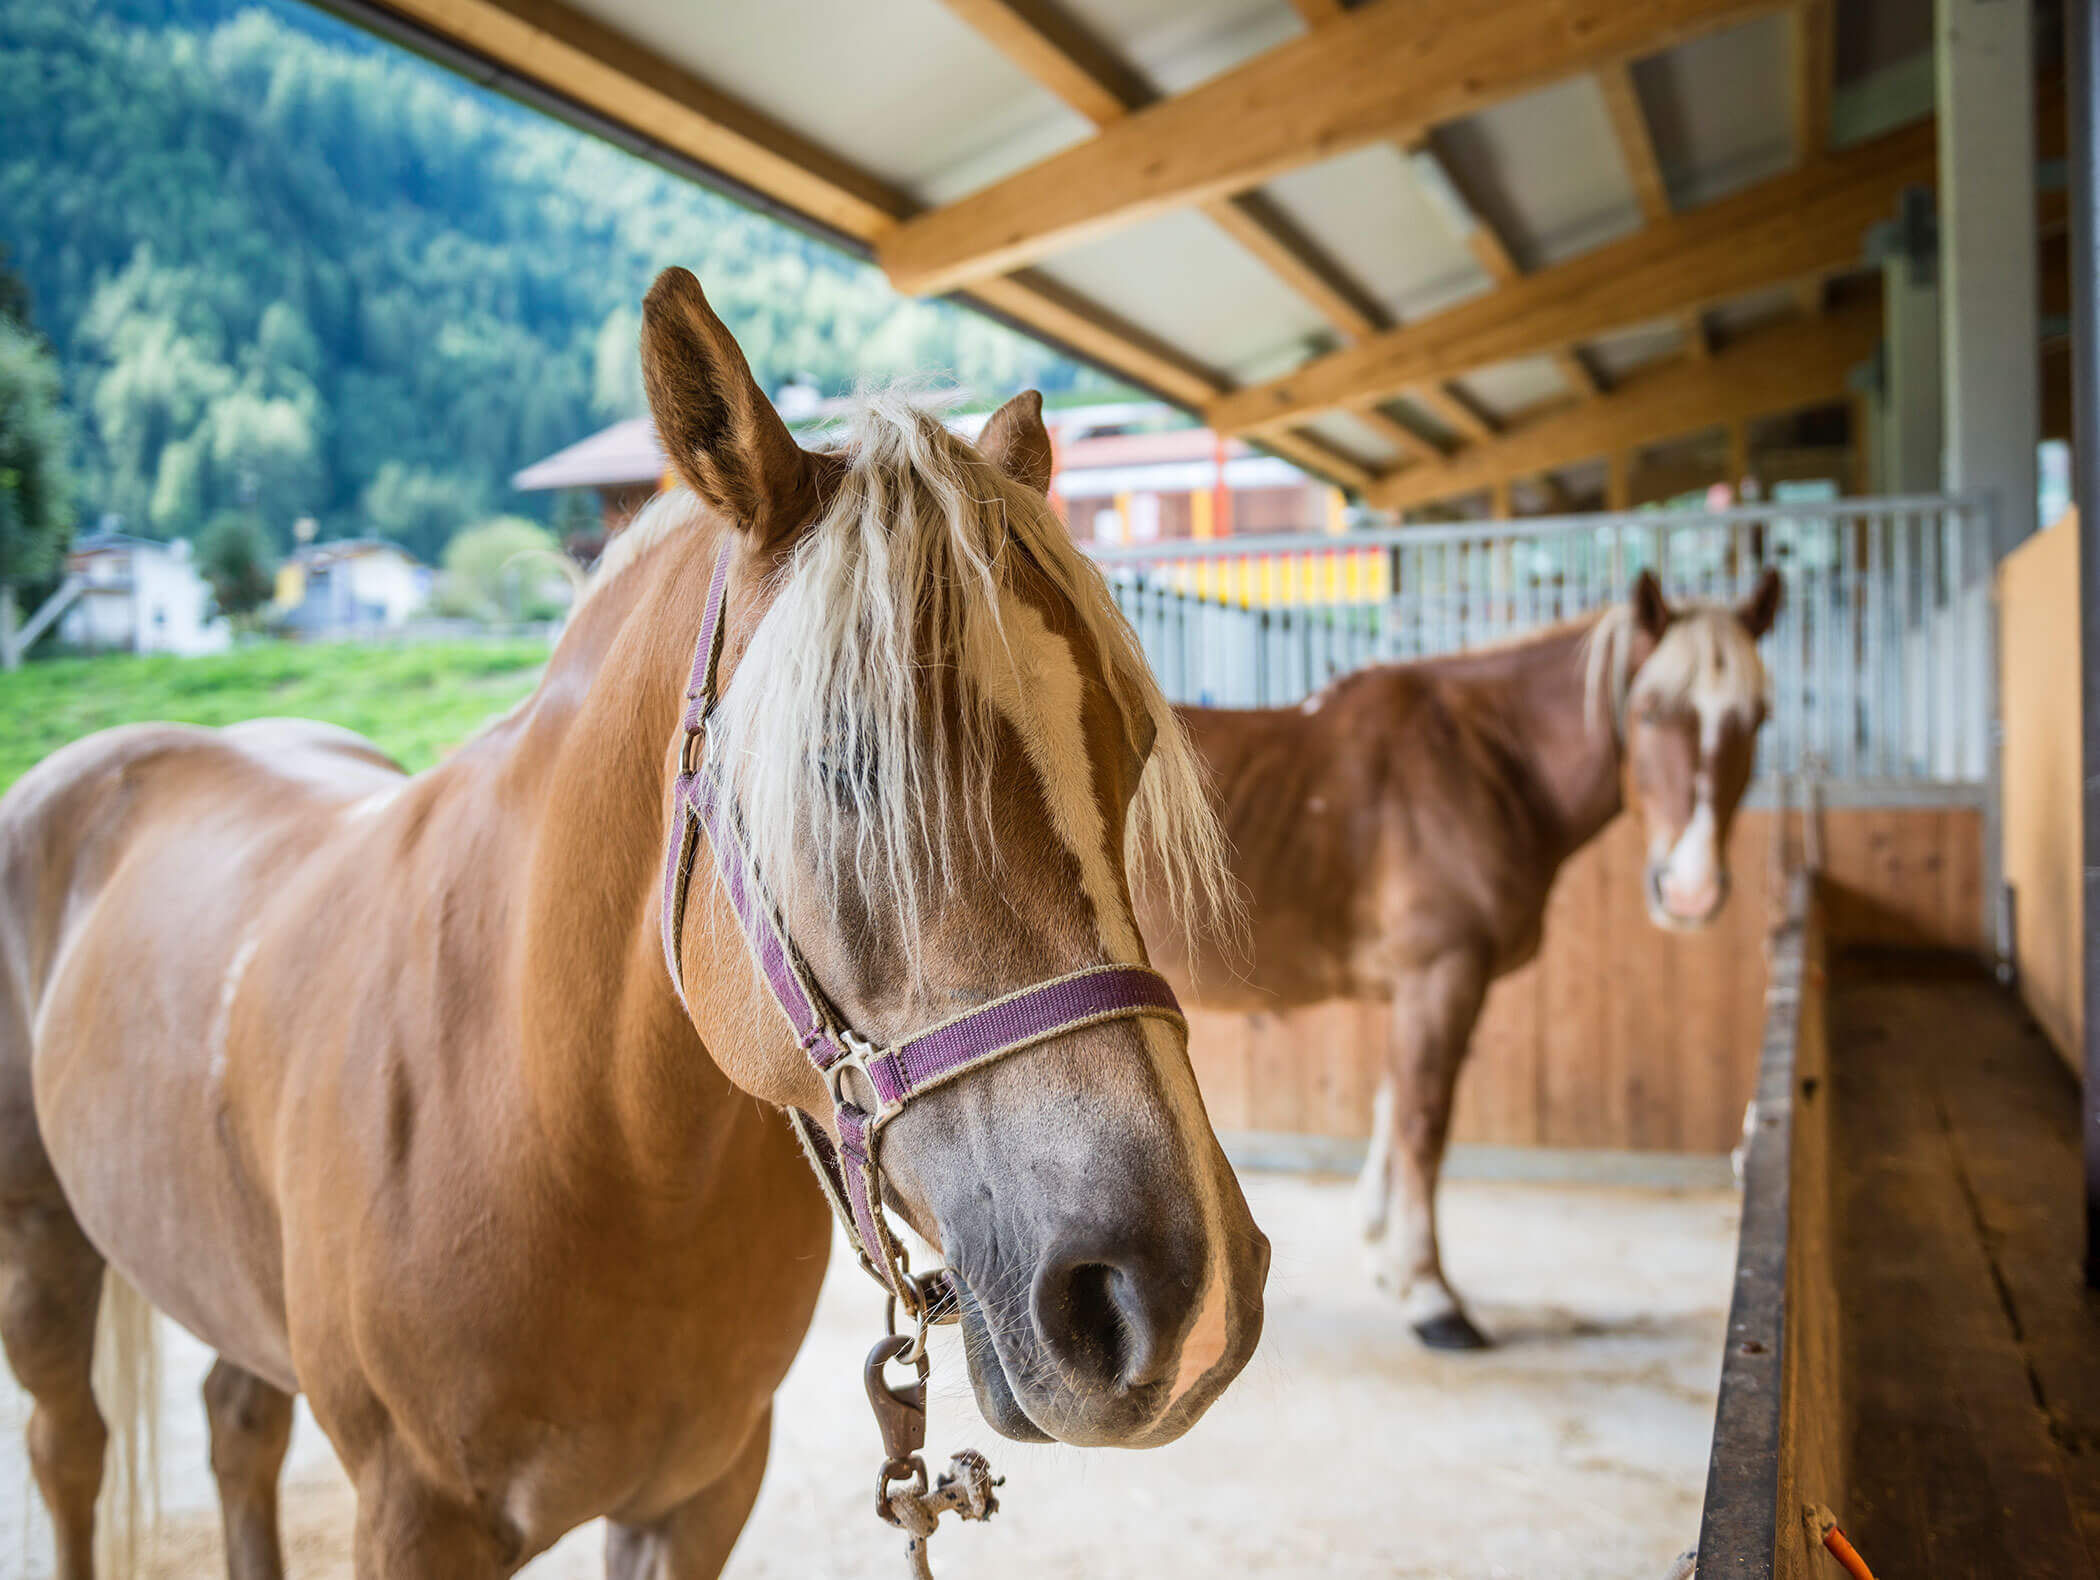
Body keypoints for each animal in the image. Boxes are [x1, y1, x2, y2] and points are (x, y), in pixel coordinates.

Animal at [0, 268, 1267, 1579]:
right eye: (843, 759)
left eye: (1131, 753)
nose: (1179, 1290)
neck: (579, 1127)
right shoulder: (411, 1515)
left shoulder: (697, 1494)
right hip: (42, 1250)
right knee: (69, 1450)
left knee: (235, 1424)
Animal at [1140, 569, 1779, 1349]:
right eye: (1652, 710)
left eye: (1758, 718)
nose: (1691, 890)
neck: (1482, 763)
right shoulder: (1443, 975)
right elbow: (1423, 1124)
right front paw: (1430, 1295)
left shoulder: (1423, 988)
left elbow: (1394, 1104)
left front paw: (1387, 1261)